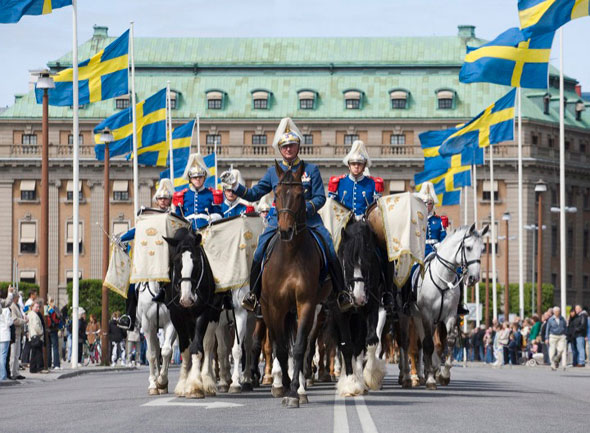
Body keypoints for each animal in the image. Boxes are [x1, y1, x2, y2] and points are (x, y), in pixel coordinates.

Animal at [164, 226, 224, 398]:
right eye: (176, 261)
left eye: (196, 261)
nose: (186, 299)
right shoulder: (177, 317)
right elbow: (185, 350)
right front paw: (183, 384)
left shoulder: (203, 313)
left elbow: (197, 348)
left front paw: (195, 385)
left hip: (214, 315)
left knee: (208, 345)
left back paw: (207, 380)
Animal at [264, 160, 332, 406]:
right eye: (276, 193)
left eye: (300, 194)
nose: (285, 231)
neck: (290, 255)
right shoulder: (274, 307)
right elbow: (282, 349)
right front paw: (283, 385)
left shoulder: (307, 304)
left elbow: (301, 347)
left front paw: (294, 391)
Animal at [414, 224, 488, 390]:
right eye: (468, 247)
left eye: (483, 248)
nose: (474, 278)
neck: (443, 279)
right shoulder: (427, 315)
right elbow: (428, 345)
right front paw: (430, 379)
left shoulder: (450, 316)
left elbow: (450, 342)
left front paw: (444, 374)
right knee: (422, 343)